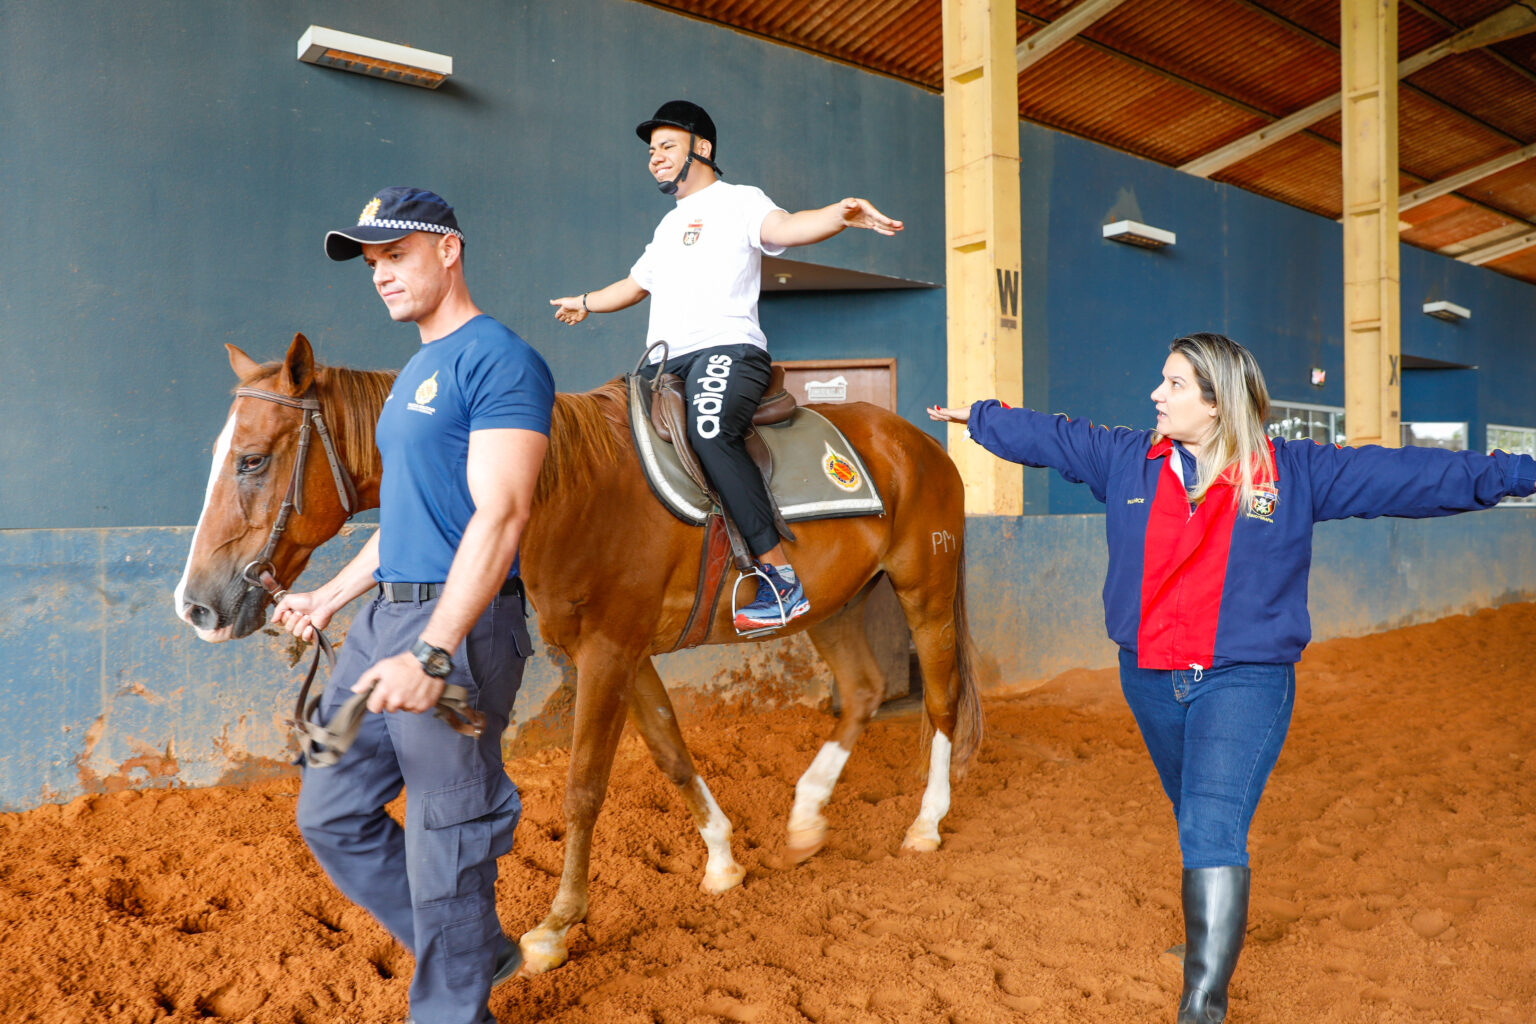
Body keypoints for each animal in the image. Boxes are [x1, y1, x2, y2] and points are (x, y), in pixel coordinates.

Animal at [174, 333, 976, 976]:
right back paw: (807, 815)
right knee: (864, 690)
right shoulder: (626, 653)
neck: (566, 488)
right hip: (836, 607)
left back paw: (926, 824)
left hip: (925, 591)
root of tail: (915, 442)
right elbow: (671, 751)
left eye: (251, 460)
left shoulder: (609, 652)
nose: (197, 606)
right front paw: (721, 861)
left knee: (938, 702)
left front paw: (557, 927)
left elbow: (583, 788)